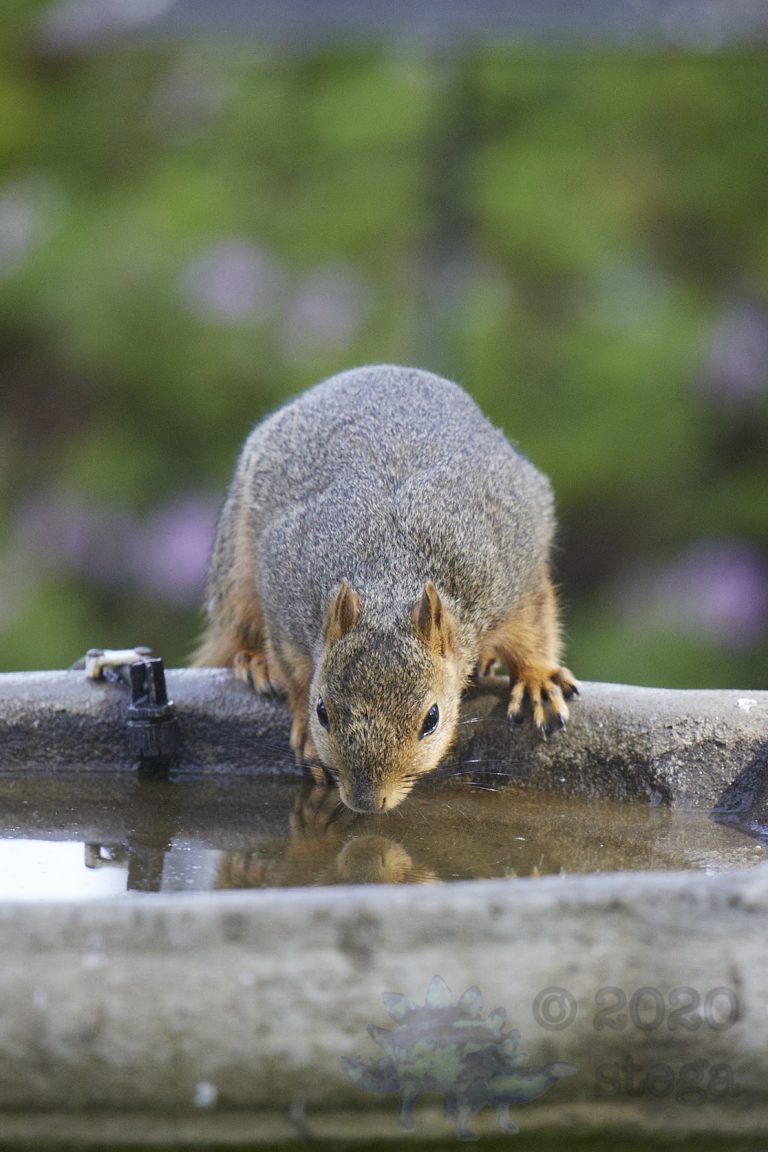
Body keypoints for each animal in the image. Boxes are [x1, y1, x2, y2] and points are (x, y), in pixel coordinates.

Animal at [195, 365, 578, 813]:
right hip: (237, 568)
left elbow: (534, 632)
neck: (390, 577)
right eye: (322, 711)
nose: (366, 800)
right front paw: (308, 737)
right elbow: (293, 674)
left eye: (432, 719)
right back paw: (254, 660)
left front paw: (537, 682)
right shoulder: (286, 601)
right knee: (236, 626)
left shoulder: (510, 579)